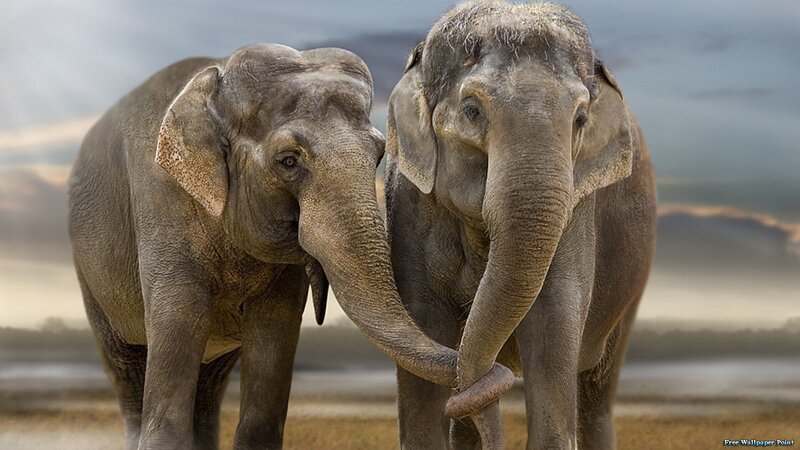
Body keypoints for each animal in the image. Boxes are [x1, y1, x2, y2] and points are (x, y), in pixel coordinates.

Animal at [68, 44, 512, 450]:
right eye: (288, 161)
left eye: (379, 153)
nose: (495, 378)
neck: (217, 82)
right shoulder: (161, 202)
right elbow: (179, 317)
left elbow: (274, 334)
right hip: (91, 278)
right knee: (126, 366)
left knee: (209, 387)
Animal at [384, 2, 657, 449]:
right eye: (472, 110)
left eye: (581, 118)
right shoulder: (409, 204)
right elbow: (423, 328)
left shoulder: (576, 211)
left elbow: (552, 321)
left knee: (597, 392)